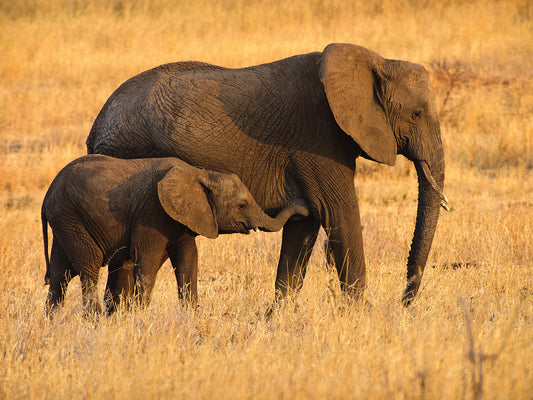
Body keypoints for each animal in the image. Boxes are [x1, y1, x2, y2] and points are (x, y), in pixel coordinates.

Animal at [41, 155, 308, 314]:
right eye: (242, 205)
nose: (304, 209)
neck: (202, 173)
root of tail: (47, 196)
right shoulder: (152, 213)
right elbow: (146, 259)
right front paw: (139, 316)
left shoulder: (184, 218)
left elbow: (188, 259)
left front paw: (191, 314)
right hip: (72, 219)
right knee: (88, 268)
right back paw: (93, 320)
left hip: (65, 222)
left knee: (60, 274)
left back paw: (52, 322)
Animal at [88, 43, 448, 306]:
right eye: (416, 114)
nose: (404, 304)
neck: (376, 60)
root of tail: (97, 127)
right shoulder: (317, 140)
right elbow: (338, 212)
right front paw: (360, 318)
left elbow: (305, 227)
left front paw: (276, 322)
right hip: (127, 155)